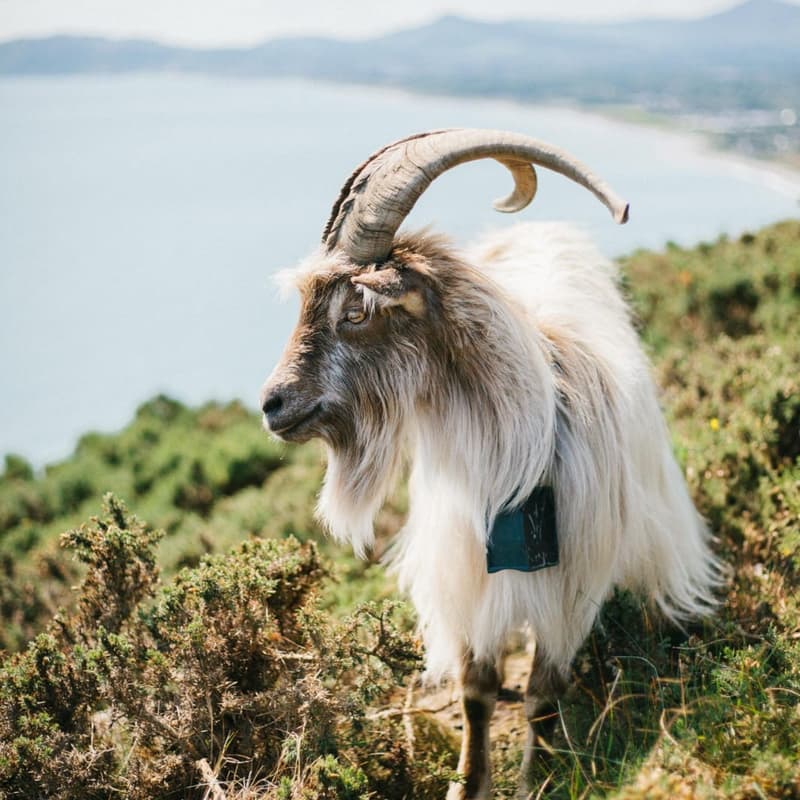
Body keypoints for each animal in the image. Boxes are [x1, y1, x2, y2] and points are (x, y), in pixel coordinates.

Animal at [259, 129, 721, 799]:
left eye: (356, 310)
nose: (272, 404)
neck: (518, 461)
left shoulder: (570, 587)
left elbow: (542, 696)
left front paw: (537, 779)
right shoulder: (464, 578)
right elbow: (475, 692)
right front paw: (467, 784)